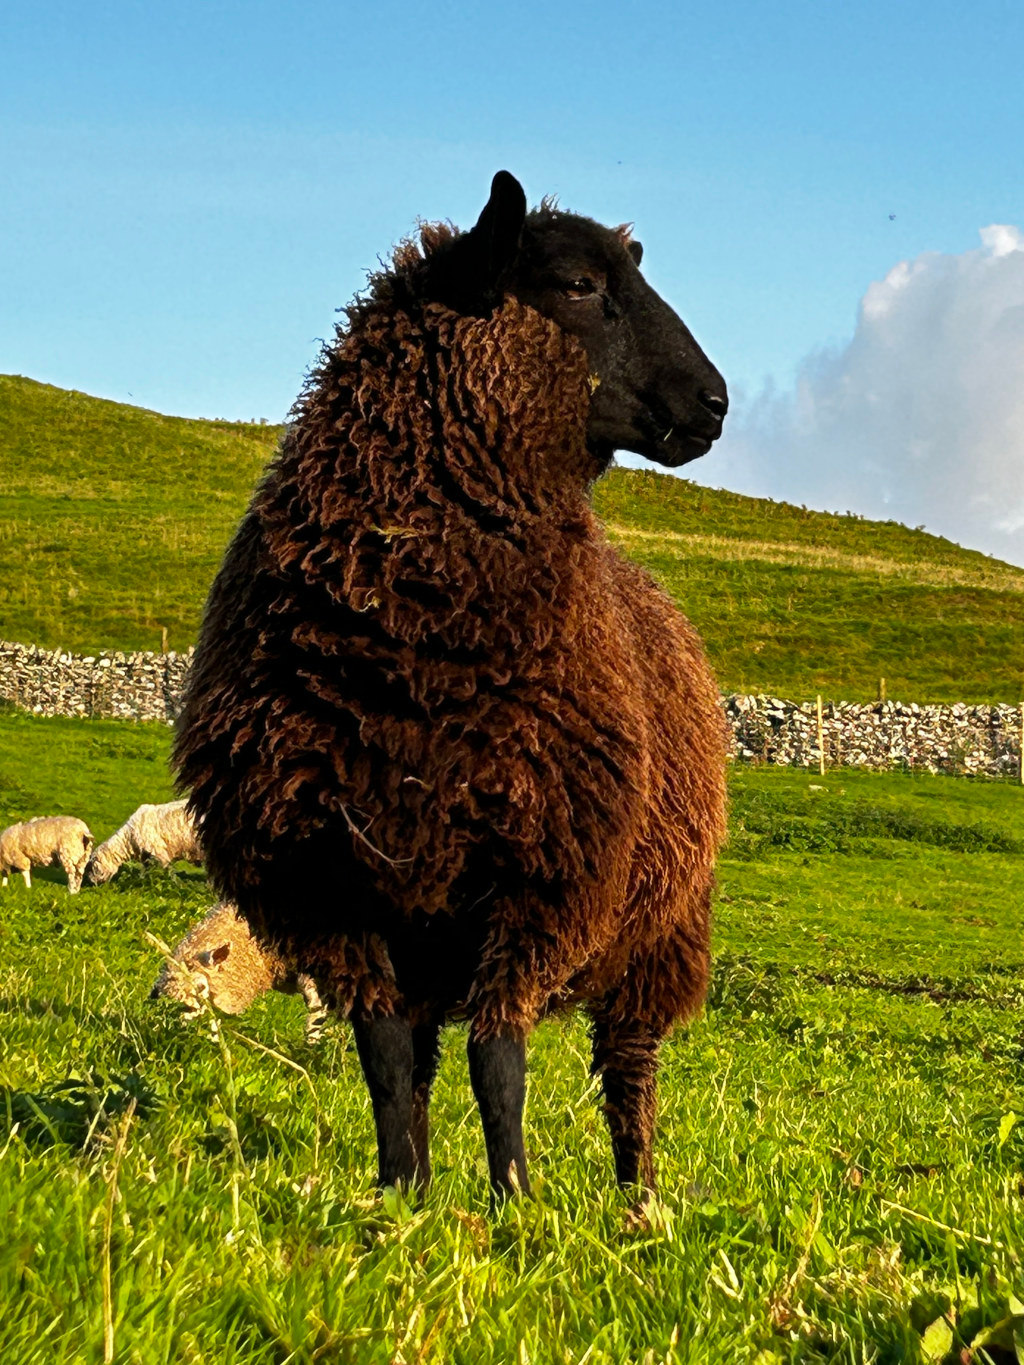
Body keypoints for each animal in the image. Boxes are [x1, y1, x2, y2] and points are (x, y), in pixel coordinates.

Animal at [174, 171, 729, 1202]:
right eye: (579, 284)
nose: (715, 403)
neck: (419, 652)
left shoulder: (541, 878)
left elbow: (498, 1062)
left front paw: (513, 1201)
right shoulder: (336, 884)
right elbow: (389, 1063)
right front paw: (400, 1196)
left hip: (659, 928)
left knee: (630, 1067)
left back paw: (638, 1197)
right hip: (430, 923)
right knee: (434, 1055)